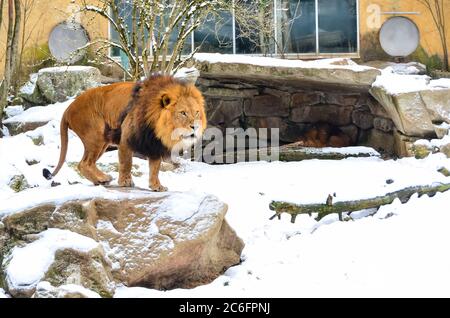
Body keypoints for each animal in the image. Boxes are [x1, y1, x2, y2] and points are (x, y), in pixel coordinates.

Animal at [41, 74, 207, 191]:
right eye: (183, 113)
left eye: (197, 112)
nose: (195, 126)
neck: (158, 127)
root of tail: (68, 109)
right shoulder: (126, 138)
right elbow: (127, 162)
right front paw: (126, 182)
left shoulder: (153, 144)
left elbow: (155, 168)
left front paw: (156, 186)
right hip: (96, 137)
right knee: (84, 164)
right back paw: (102, 179)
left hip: (103, 141)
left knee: (86, 164)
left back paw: (100, 180)